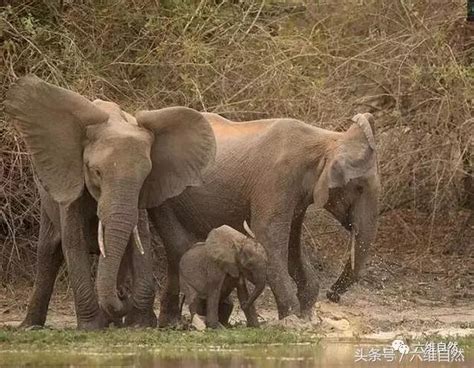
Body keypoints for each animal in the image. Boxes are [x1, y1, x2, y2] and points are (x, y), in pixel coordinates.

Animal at [4, 75, 216, 330]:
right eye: (96, 172)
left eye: (145, 176)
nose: (123, 294)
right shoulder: (71, 179)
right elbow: (73, 242)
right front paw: (91, 327)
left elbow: (140, 240)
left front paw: (140, 324)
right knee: (49, 251)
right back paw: (30, 326)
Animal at [150, 110, 380, 324]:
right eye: (359, 188)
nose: (332, 295)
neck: (327, 139)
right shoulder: (277, 179)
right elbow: (267, 235)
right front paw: (292, 319)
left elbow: (292, 246)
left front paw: (305, 316)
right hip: (165, 193)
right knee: (178, 246)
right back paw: (175, 322)